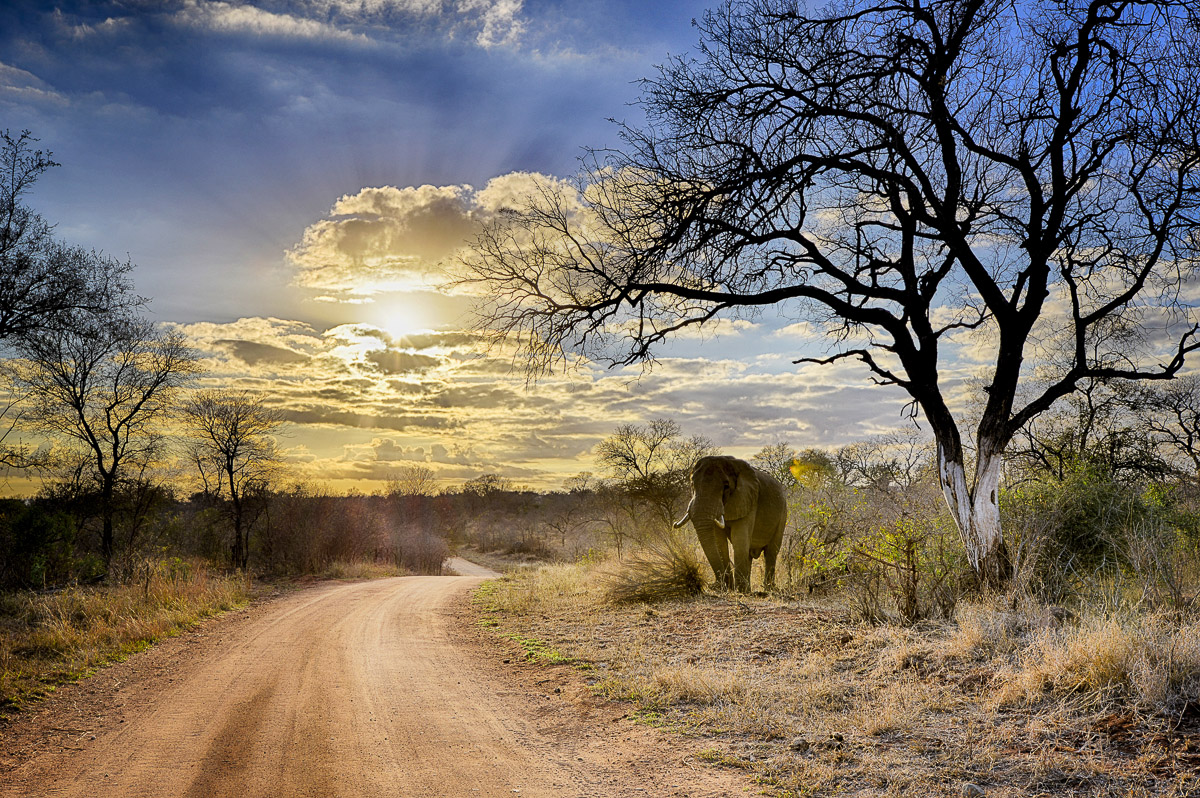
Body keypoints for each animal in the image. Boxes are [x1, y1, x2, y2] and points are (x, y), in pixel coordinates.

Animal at [674, 455, 787, 593]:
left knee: (771, 551)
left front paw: (738, 590)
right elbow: (719, 541)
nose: (713, 585)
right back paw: (748, 589)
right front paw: (729, 588)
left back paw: (768, 589)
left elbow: (739, 538)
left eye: (726, 486)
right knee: (749, 553)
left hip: (783, 513)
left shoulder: (748, 499)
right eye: (692, 485)